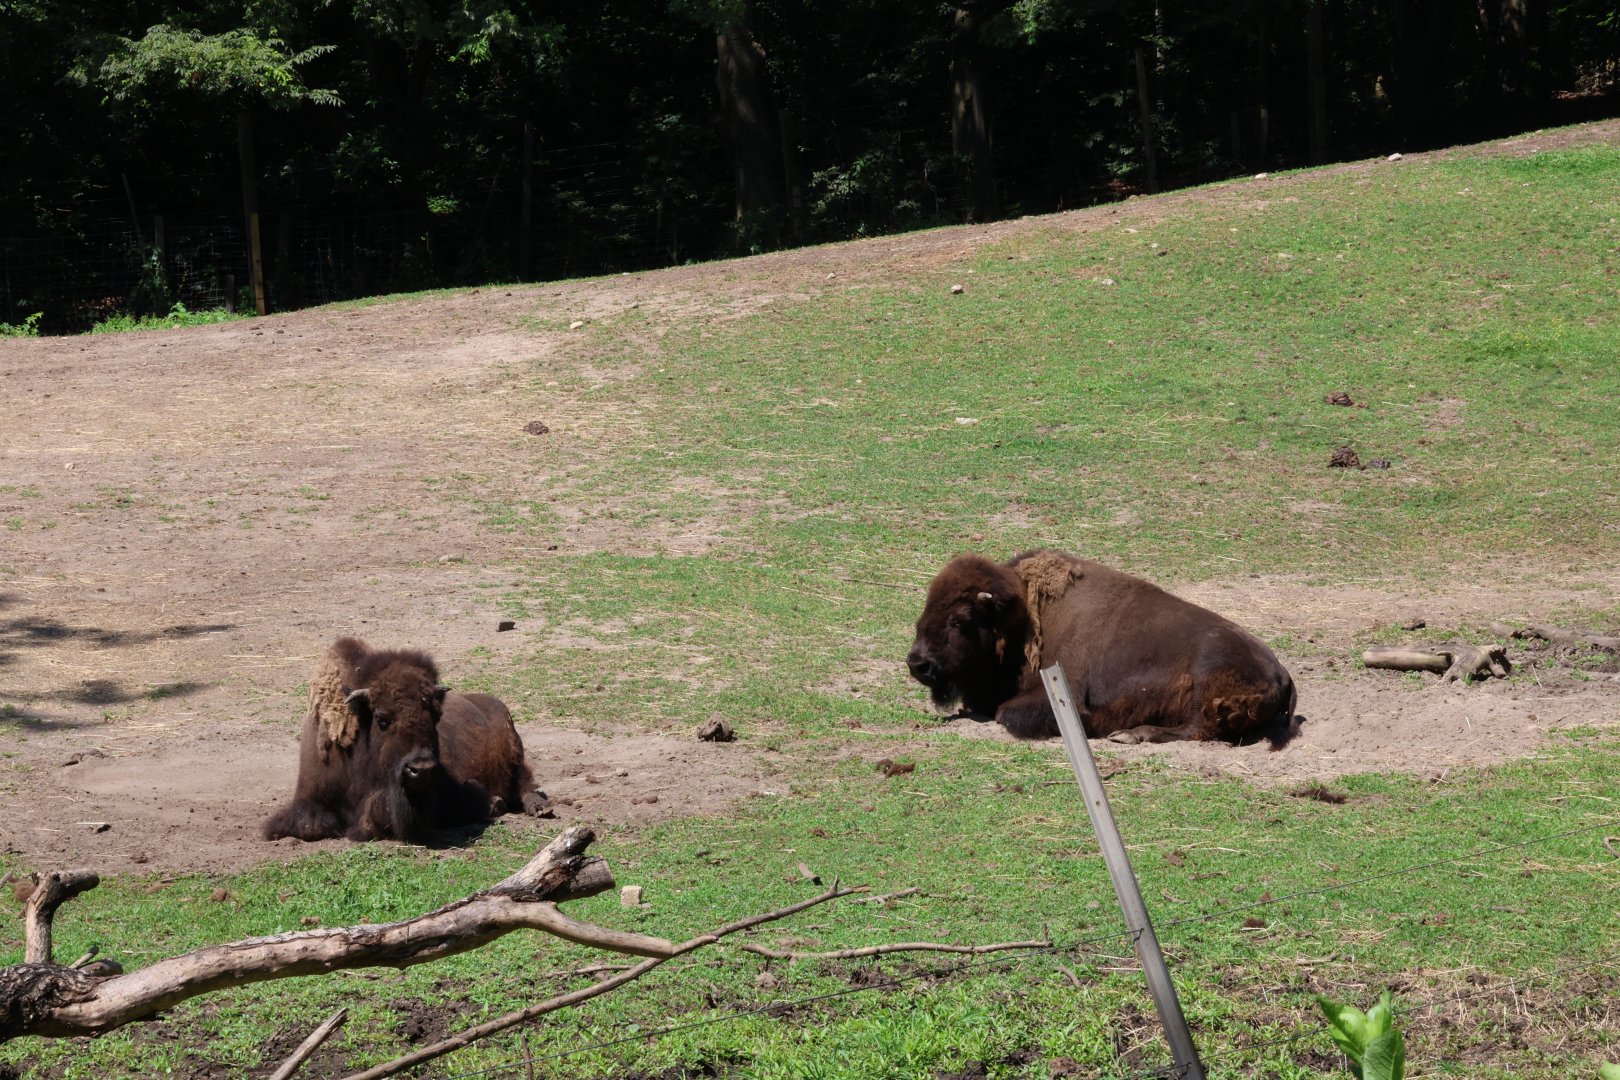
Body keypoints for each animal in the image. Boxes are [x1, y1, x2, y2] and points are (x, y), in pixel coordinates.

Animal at [263, 638, 550, 842]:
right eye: (382, 719)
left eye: (436, 715)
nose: (420, 770)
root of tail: (492, 702)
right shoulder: (308, 797)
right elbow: (310, 824)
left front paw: (492, 804)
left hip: (515, 754)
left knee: (525, 783)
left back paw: (533, 807)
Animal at [906, 550, 1296, 747]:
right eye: (925, 610)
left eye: (960, 619)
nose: (917, 664)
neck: (1023, 620)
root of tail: (1281, 673)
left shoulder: (1062, 693)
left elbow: (1006, 713)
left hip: (1203, 687)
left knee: (1195, 730)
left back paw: (1130, 733)